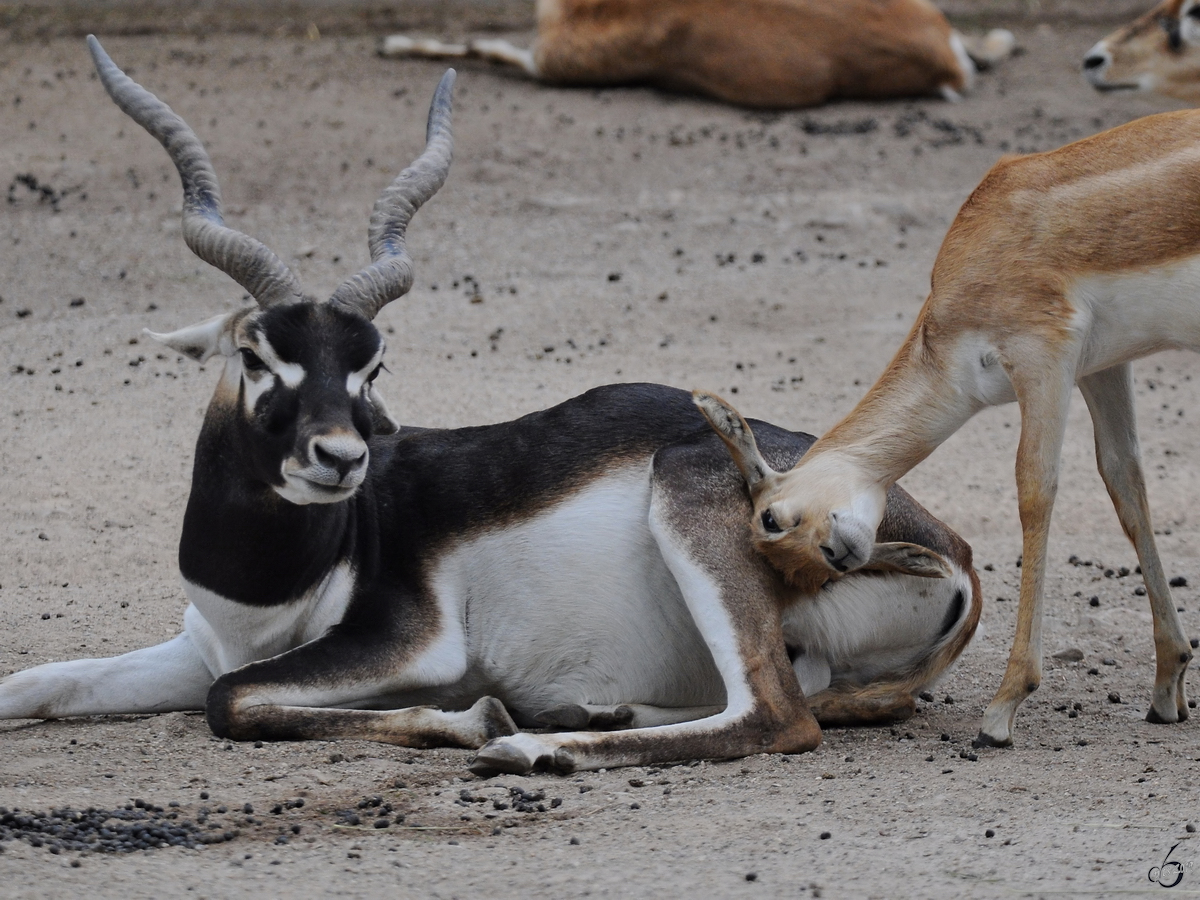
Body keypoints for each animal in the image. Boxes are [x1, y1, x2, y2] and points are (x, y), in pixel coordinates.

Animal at [0, 31, 984, 772]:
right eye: (255, 353)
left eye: (371, 366)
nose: (340, 458)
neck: (281, 574)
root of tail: (959, 554)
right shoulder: (200, 640)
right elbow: (41, 682)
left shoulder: (404, 645)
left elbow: (230, 701)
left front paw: (477, 718)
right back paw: (595, 714)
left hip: (690, 494)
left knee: (778, 716)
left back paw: (534, 745)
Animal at [724, 109, 1200, 748]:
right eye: (791, 571)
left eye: (771, 519)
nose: (842, 554)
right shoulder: (1101, 366)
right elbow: (1126, 485)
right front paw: (1167, 685)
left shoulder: (1042, 354)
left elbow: (1035, 490)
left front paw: (1003, 708)